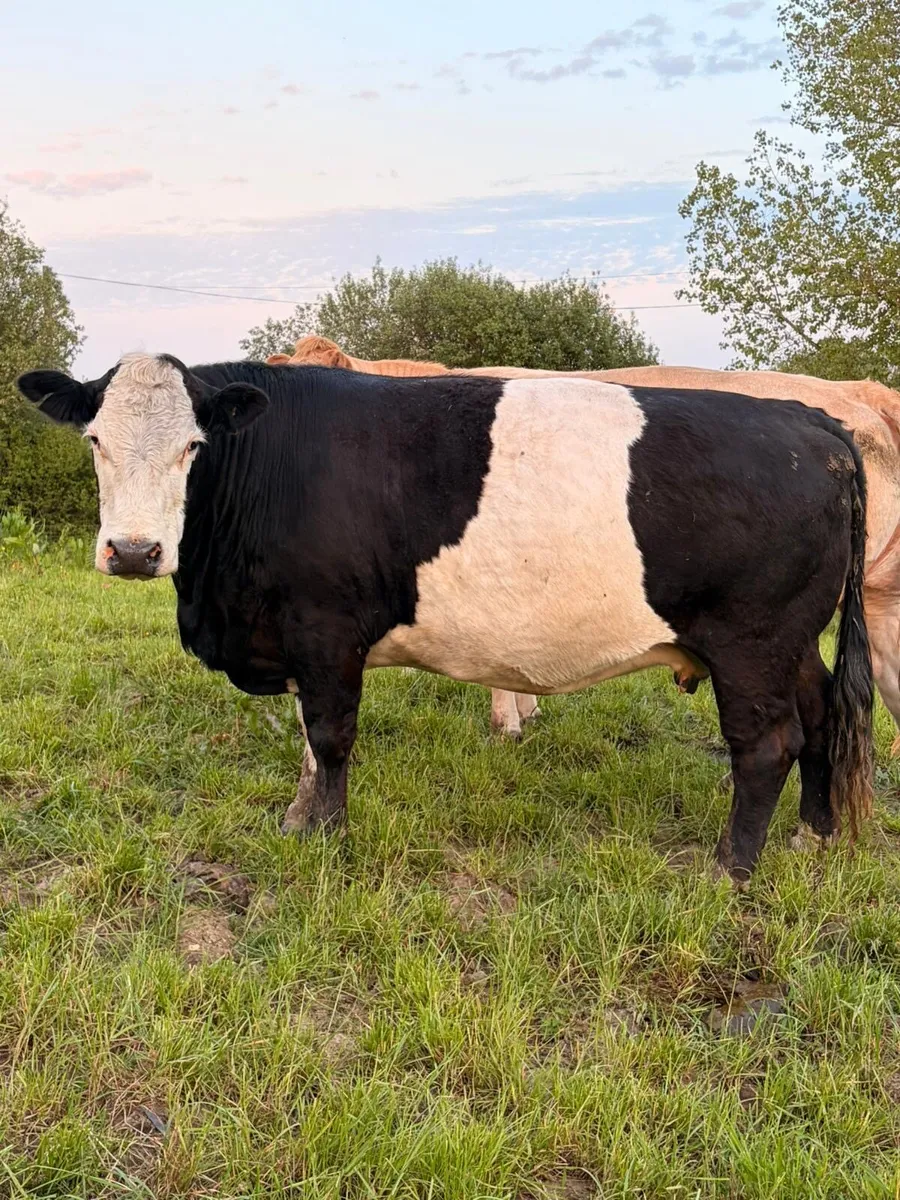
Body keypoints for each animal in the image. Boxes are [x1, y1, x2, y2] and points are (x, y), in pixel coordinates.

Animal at [18, 354, 874, 882]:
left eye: (193, 446)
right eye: (94, 439)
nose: (134, 550)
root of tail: (812, 422)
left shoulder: (326, 629)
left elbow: (330, 736)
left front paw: (327, 837)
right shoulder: (296, 637)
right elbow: (306, 740)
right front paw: (298, 818)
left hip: (752, 641)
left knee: (766, 745)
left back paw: (730, 870)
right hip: (793, 642)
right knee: (821, 716)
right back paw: (815, 834)